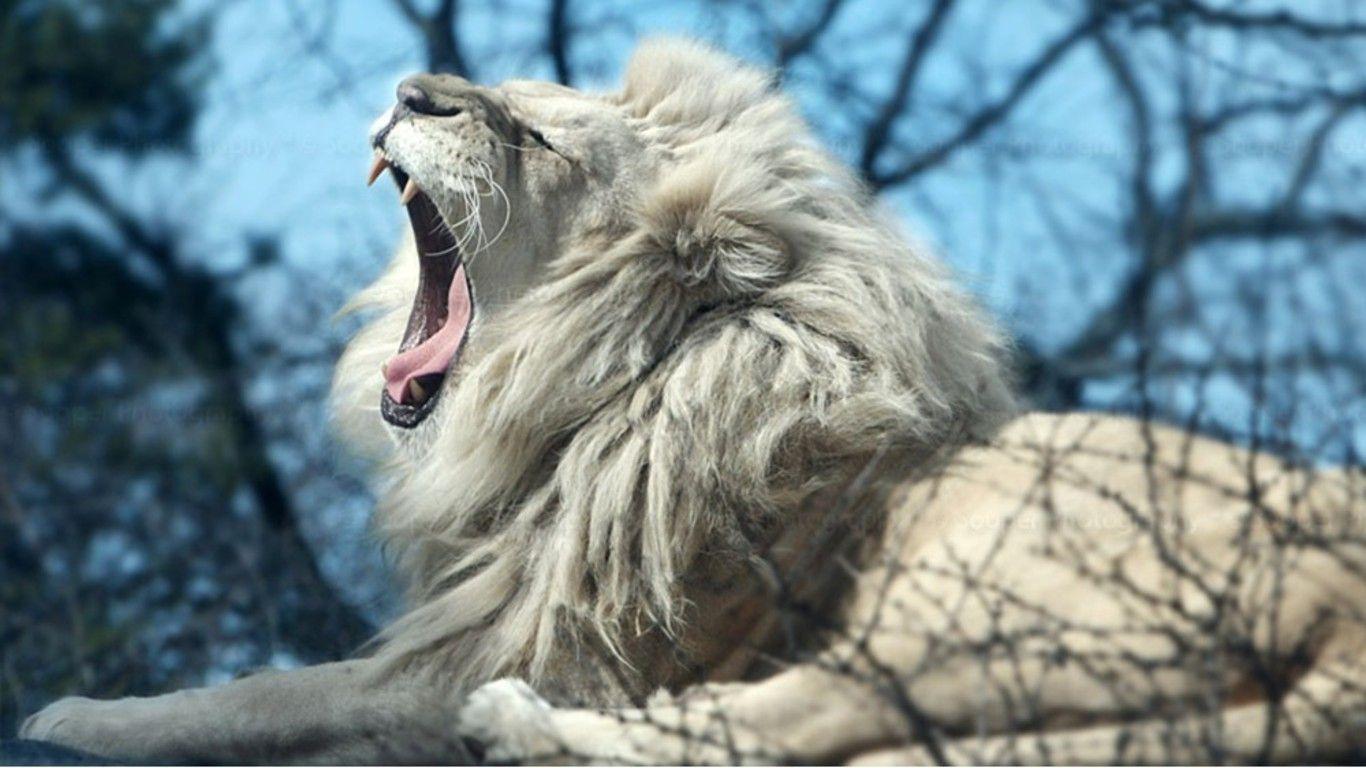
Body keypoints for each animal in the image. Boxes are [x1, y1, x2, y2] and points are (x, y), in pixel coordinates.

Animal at [19, 39, 1365, 764]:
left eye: (538, 140)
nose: (413, 90)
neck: (592, 389)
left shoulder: (497, 652)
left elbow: (264, 695)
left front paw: (81, 711)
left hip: (972, 597)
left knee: (786, 721)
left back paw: (522, 732)